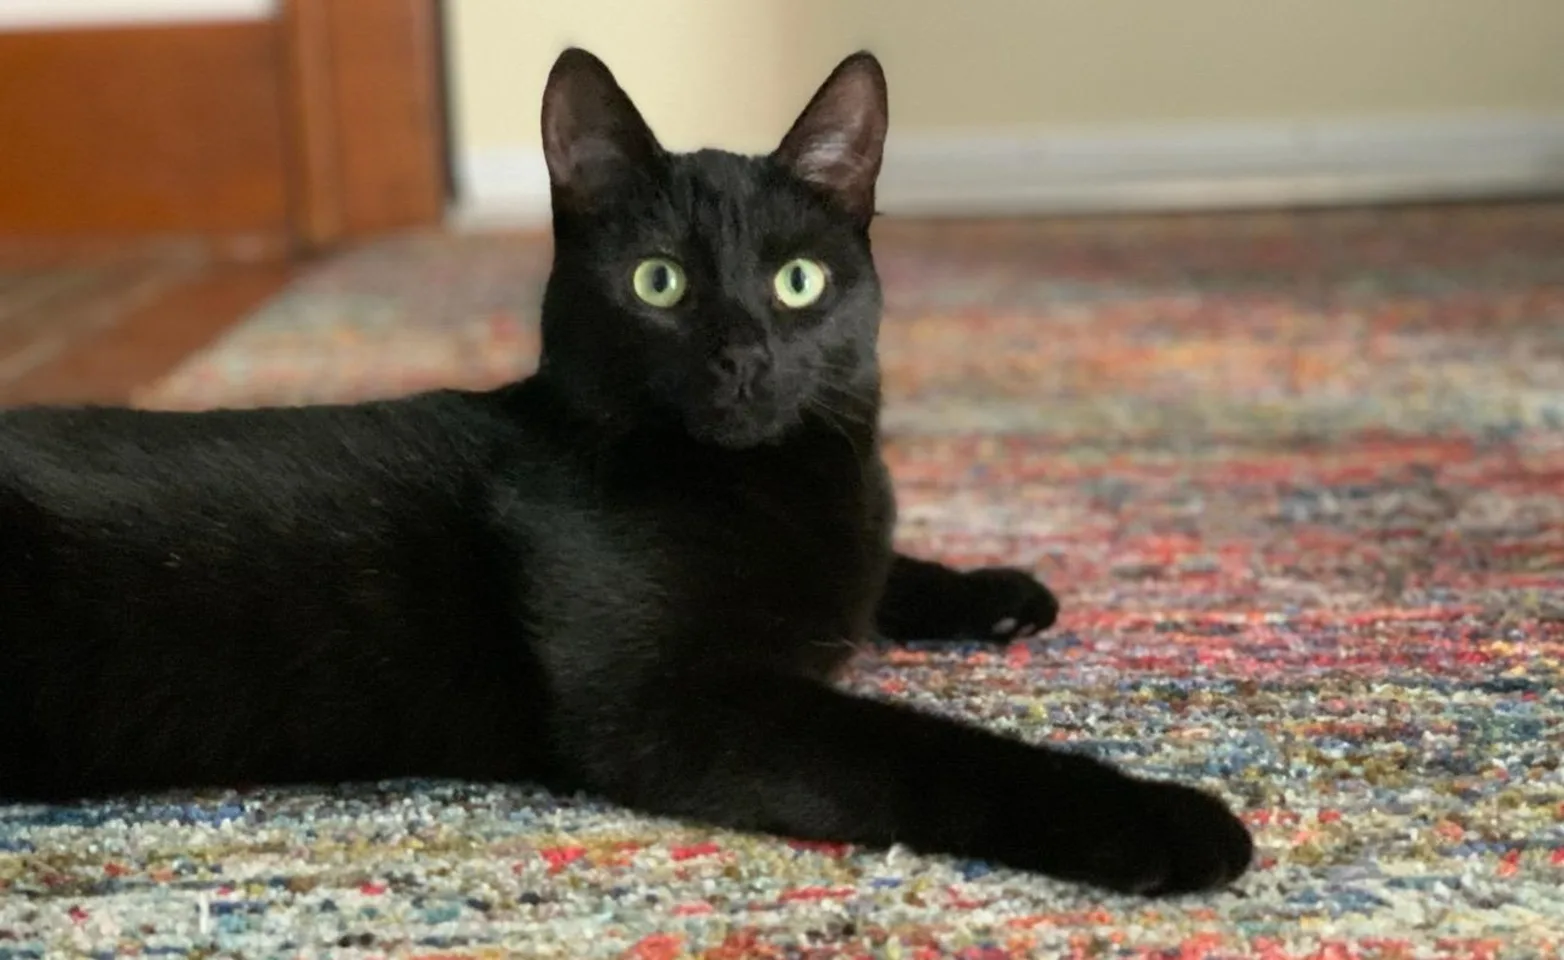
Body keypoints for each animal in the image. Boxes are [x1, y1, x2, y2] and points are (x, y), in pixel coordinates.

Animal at [0, 50, 1251, 894]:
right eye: (659, 283)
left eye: (797, 282)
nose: (743, 354)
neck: (765, 484)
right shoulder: (673, 705)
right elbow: (930, 753)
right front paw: (1170, 824)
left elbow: (882, 561)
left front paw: (992, 588)